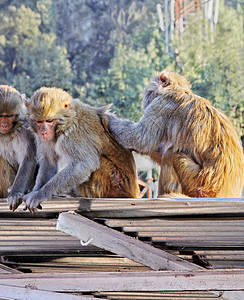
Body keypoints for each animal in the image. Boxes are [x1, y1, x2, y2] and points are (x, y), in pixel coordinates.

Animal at [108, 69, 244, 198]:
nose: (145, 101)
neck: (178, 90)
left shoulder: (162, 105)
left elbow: (141, 139)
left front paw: (109, 119)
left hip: (198, 181)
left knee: (170, 155)